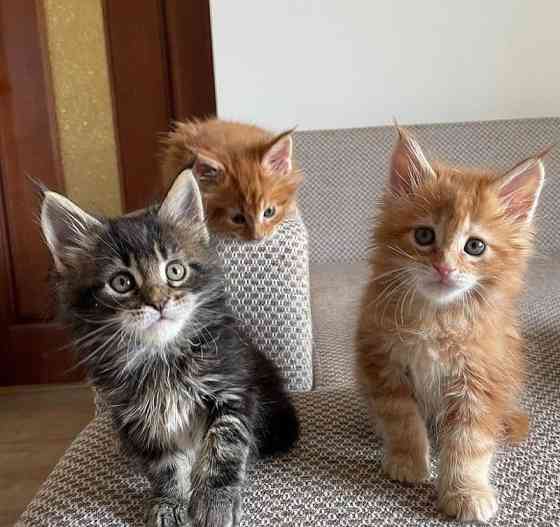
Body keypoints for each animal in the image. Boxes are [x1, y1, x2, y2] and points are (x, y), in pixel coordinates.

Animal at [38, 170, 298, 527]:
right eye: (121, 282)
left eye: (175, 271)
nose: (159, 303)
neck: (162, 359)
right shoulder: (139, 418)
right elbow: (163, 466)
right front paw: (168, 504)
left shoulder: (232, 384)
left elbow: (224, 443)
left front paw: (215, 502)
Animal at [354, 128, 548, 524]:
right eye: (424, 236)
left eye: (475, 246)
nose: (444, 268)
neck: (438, 319)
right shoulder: (383, 362)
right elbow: (402, 419)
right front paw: (407, 461)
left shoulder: (480, 381)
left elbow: (468, 443)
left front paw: (465, 491)